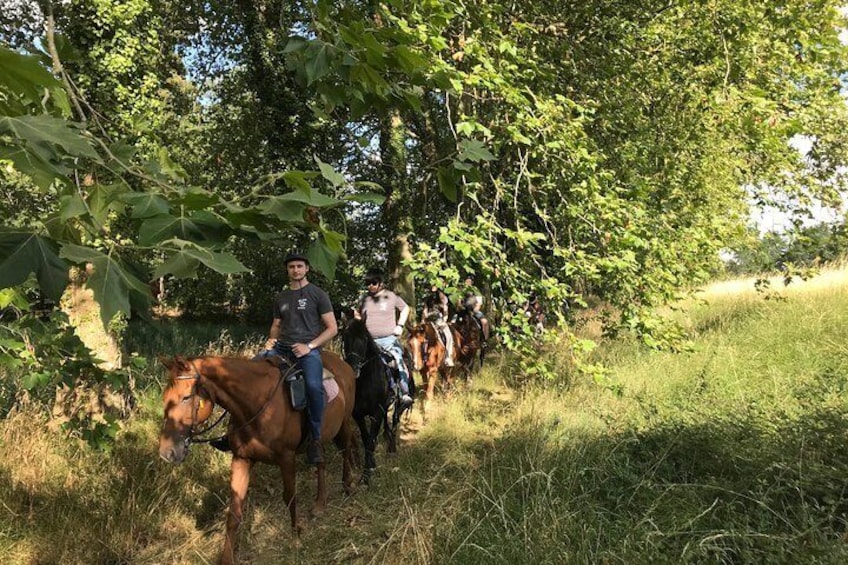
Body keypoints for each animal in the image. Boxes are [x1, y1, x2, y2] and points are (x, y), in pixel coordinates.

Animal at [158, 354, 354, 560]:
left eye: (186, 397)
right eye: (165, 398)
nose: (167, 452)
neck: (256, 405)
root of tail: (342, 362)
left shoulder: (286, 458)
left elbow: (290, 497)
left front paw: (296, 538)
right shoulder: (241, 459)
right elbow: (234, 512)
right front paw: (227, 558)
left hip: (344, 423)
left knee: (346, 450)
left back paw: (348, 484)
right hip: (319, 438)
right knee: (321, 462)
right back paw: (320, 503)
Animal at [342, 320, 414, 482]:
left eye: (363, 339)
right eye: (345, 339)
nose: (352, 368)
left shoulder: (376, 412)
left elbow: (371, 440)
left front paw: (367, 474)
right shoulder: (358, 414)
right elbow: (366, 439)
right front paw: (371, 464)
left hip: (398, 403)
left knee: (395, 420)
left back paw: (391, 448)